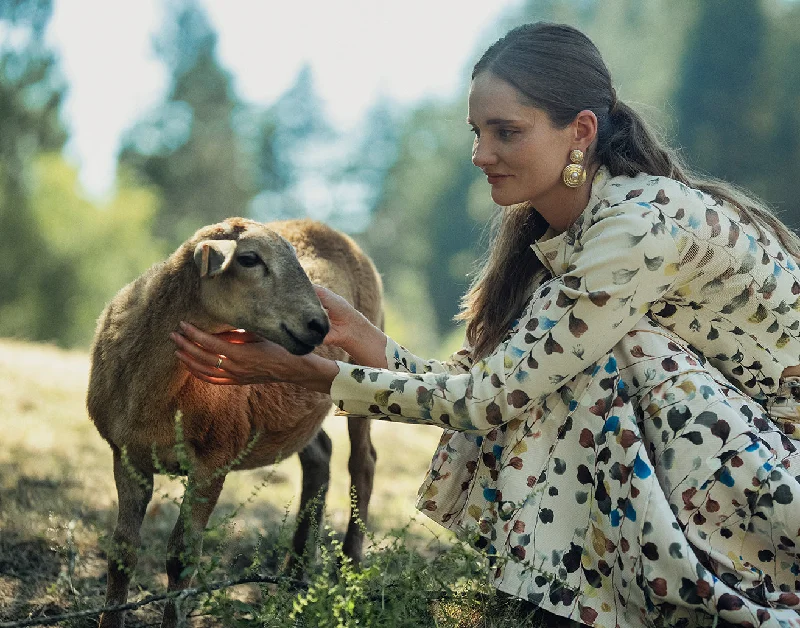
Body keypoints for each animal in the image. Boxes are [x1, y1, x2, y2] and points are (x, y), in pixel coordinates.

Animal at [87, 217, 384, 628]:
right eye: (248, 259)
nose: (319, 325)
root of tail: (323, 226)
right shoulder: (128, 457)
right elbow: (122, 553)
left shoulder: (212, 462)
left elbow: (181, 556)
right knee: (320, 455)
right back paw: (293, 576)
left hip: (361, 377)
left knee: (363, 462)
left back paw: (349, 570)